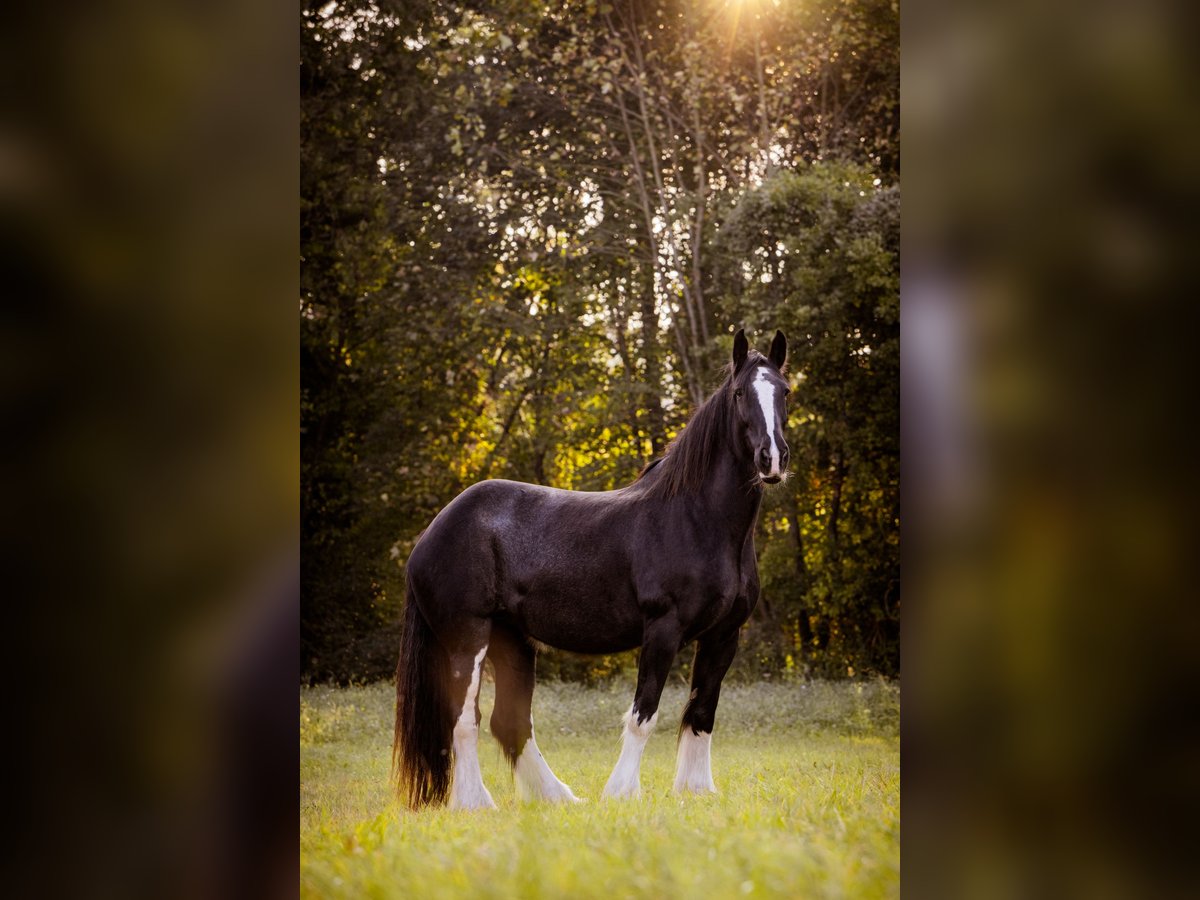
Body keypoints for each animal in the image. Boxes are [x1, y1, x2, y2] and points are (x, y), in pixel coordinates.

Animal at [391, 328, 787, 811]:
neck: (697, 519)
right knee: (465, 718)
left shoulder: (723, 635)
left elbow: (702, 713)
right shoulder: (663, 629)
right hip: (468, 635)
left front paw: (696, 790)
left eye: (785, 391)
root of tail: (428, 537)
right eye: (739, 393)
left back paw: (558, 797)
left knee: (510, 722)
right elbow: (643, 714)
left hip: (512, 640)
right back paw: (475, 804)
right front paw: (622, 792)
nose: (772, 459)